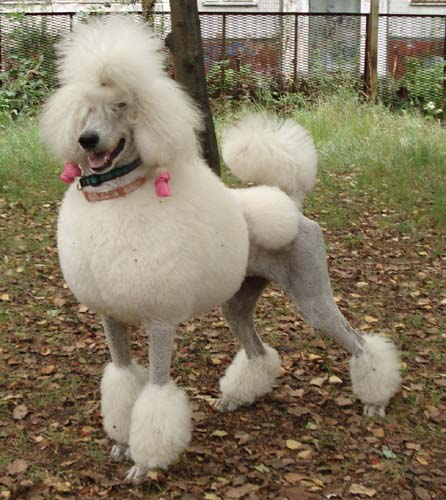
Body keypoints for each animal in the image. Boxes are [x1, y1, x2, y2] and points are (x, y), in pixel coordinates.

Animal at [40, 15, 401, 484]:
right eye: (85, 108)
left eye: (121, 105)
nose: (87, 140)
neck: (119, 198)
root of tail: (291, 204)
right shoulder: (111, 316)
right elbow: (121, 379)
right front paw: (120, 441)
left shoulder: (160, 320)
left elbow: (154, 393)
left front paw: (145, 462)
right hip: (238, 300)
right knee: (258, 351)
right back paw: (239, 396)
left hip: (313, 297)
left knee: (358, 343)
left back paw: (375, 398)